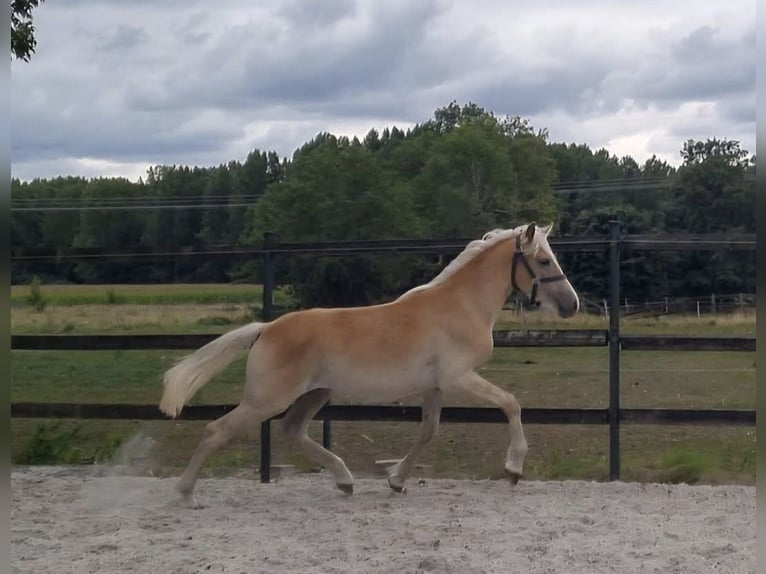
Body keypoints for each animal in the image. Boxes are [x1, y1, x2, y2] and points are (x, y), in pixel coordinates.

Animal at [159, 222, 579, 504]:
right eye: (544, 260)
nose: (572, 306)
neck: (459, 307)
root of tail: (266, 329)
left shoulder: (435, 386)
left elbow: (428, 432)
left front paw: (396, 480)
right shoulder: (458, 378)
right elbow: (511, 403)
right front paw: (513, 469)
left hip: (315, 393)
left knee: (292, 430)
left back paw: (345, 481)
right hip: (267, 399)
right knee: (216, 430)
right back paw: (185, 493)